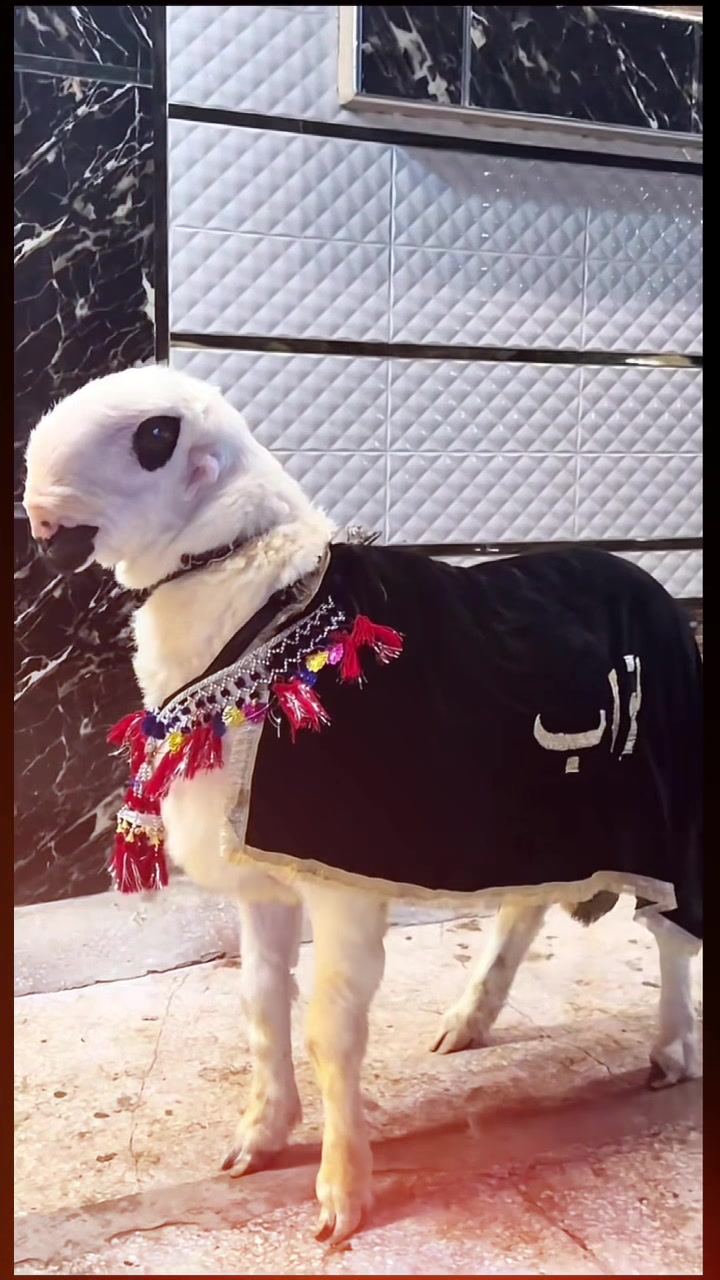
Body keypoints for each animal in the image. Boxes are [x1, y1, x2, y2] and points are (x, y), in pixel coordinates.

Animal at [23, 365, 702, 1243]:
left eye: (154, 437)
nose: (38, 512)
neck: (259, 606)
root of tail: (649, 580)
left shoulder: (341, 882)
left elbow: (328, 1033)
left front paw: (341, 1194)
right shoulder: (264, 881)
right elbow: (261, 1005)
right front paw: (259, 1136)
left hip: (666, 811)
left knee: (673, 937)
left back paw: (673, 1047)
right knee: (524, 911)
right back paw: (469, 1018)